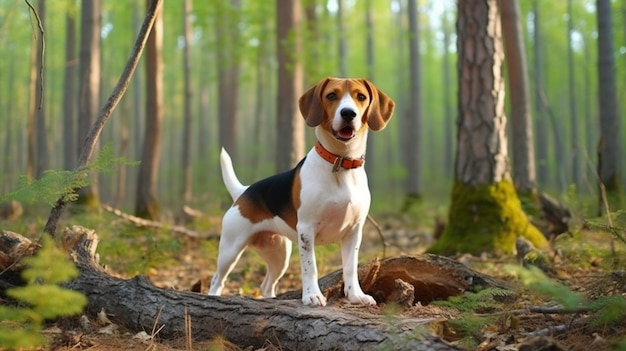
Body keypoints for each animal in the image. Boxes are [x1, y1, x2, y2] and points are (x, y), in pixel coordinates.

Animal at [210, 77, 394, 308]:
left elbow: (351, 268)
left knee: (266, 285)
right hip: (231, 249)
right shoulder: (307, 229)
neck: (340, 163)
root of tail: (244, 192)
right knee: (217, 279)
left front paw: (356, 296)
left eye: (361, 96)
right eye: (331, 95)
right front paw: (312, 296)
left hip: (279, 254)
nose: (348, 113)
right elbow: (310, 267)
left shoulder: (354, 231)